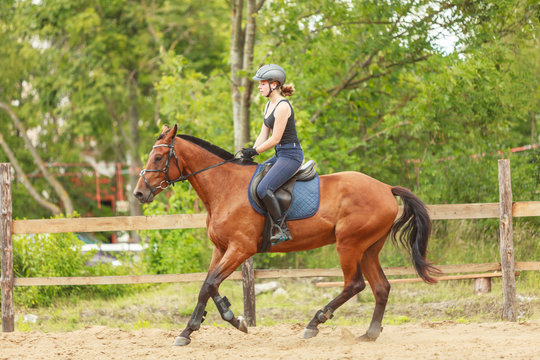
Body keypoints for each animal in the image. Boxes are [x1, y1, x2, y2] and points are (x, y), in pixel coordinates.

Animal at [134, 124, 438, 346]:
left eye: (158, 157)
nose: (139, 193)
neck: (224, 187)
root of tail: (386, 188)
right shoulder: (221, 249)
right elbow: (208, 285)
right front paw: (216, 322)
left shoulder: (241, 248)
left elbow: (209, 284)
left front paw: (212, 325)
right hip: (368, 249)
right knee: (381, 287)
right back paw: (370, 333)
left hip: (349, 245)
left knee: (354, 284)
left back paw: (315, 323)